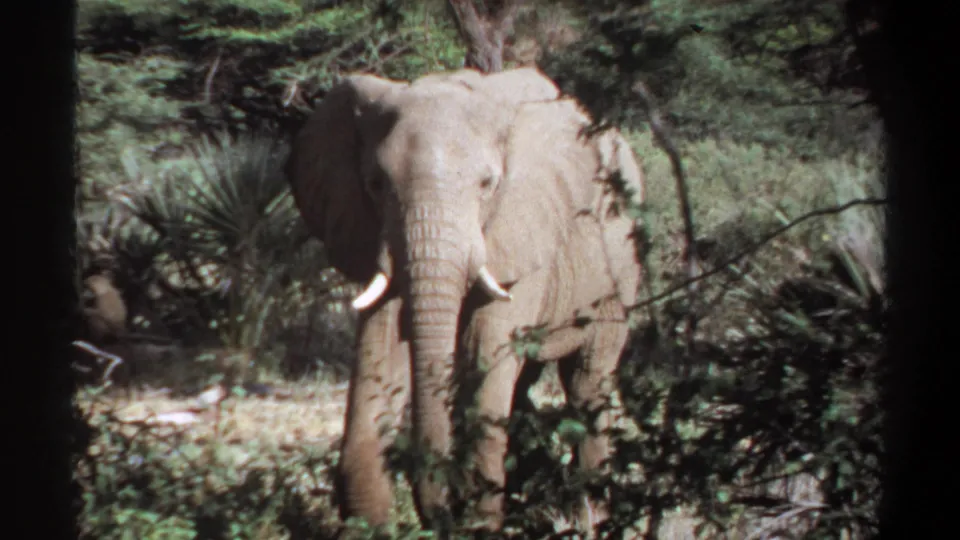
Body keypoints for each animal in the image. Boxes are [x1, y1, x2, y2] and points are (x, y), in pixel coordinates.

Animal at [285, 66, 646, 534]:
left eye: (487, 185)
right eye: (375, 185)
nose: (439, 512)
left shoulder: (523, 234)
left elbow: (482, 354)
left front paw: (477, 522)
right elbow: (379, 352)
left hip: (621, 267)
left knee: (588, 377)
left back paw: (593, 517)